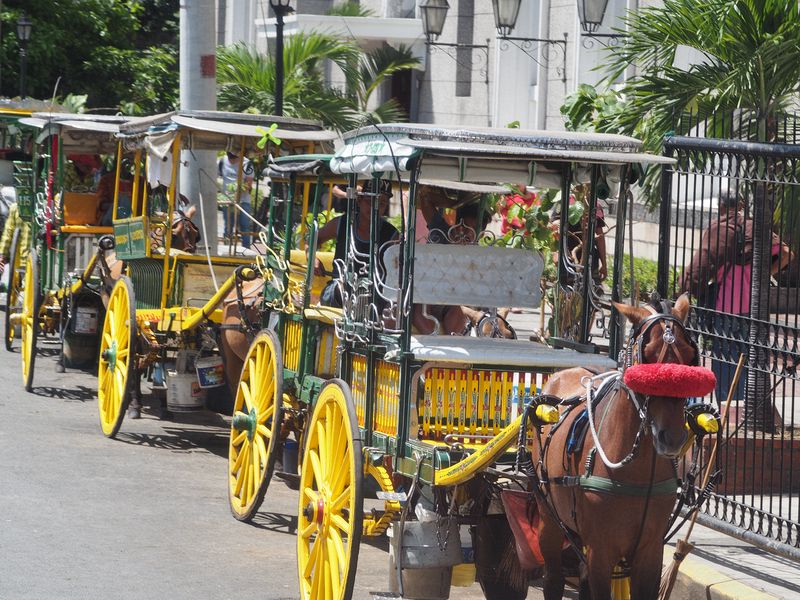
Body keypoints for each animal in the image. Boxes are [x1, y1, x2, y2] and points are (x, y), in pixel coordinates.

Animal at [536, 296, 696, 600]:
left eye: (689, 353)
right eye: (647, 353)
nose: (672, 437)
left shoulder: (650, 551)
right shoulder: (601, 551)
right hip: (549, 516)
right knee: (552, 577)